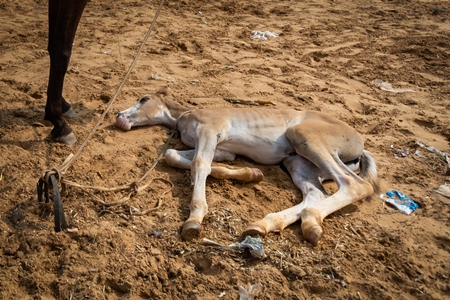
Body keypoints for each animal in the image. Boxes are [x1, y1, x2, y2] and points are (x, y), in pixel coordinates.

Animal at [114, 87, 378, 246]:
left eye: (143, 99)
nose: (118, 116)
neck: (184, 117)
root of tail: (360, 144)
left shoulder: (209, 131)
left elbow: (199, 164)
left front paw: (194, 219)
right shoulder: (223, 150)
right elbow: (175, 156)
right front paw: (251, 174)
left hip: (305, 137)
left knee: (355, 185)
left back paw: (307, 219)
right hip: (298, 161)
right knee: (316, 193)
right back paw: (270, 224)